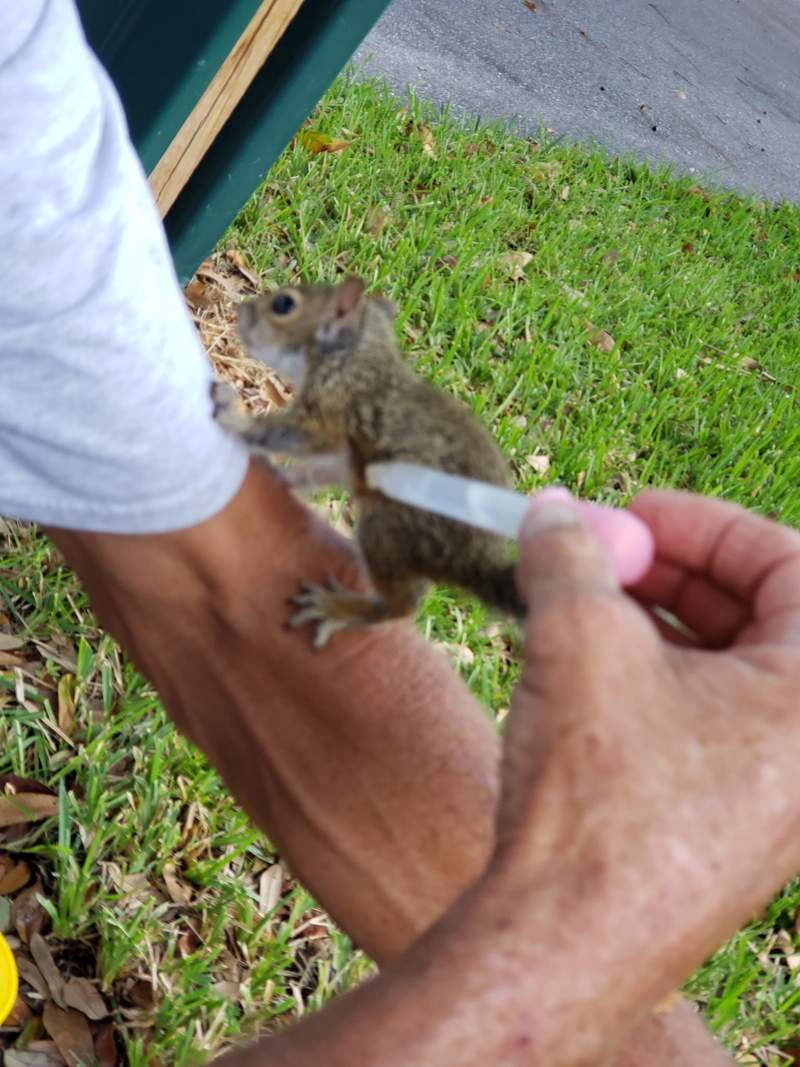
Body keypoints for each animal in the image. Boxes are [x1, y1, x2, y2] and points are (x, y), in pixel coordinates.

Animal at [211, 275, 525, 647]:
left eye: (284, 305)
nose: (242, 310)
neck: (357, 355)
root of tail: (475, 559)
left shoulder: (331, 411)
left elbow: (293, 434)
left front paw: (236, 418)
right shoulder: (345, 456)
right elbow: (321, 470)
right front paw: (283, 477)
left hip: (387, 531)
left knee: (402, 606)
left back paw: (335, 607)